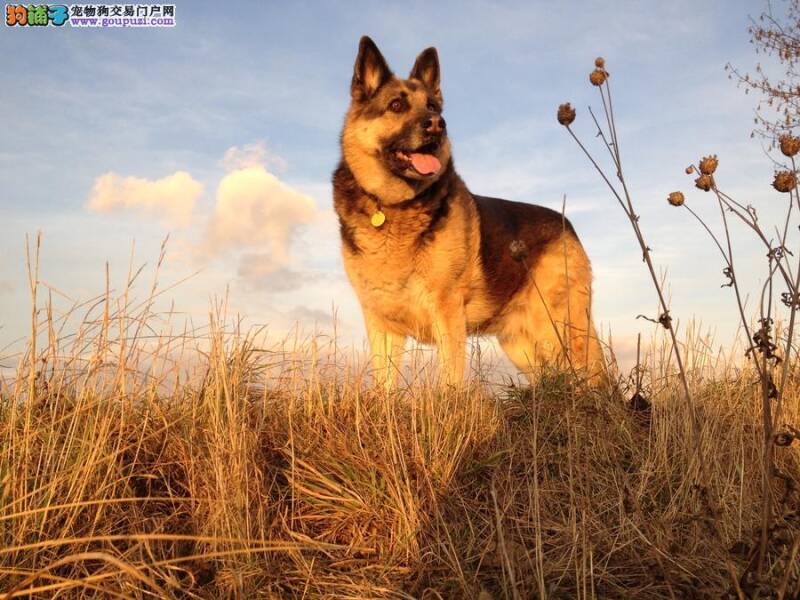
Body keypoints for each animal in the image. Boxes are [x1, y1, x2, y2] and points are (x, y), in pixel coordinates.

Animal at [332, 36, 600, 390]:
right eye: (396, 105)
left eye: (433, 107)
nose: (437, 125)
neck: (391, 207)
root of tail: (567, 224)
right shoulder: (381, 324)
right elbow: (385, 386)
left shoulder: (447, 313)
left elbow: (451, 380)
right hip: (522, 345)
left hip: (560, 330)